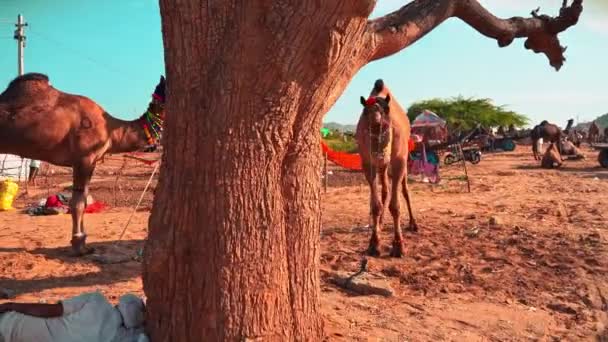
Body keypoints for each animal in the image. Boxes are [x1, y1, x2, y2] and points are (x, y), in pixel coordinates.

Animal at [0, 75, 165, 256]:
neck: (112, 130)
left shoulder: (90, 162)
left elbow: (84, 201)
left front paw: (84, 242)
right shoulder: (84, 158)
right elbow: (77, 203)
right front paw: (79, 245)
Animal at [356, 79, 418, 256]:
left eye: (387, 113)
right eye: (365, 114)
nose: (380, 151)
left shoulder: (399, 160)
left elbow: (395, 206)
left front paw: (398, 246)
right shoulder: (367, 163)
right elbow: (375, 205)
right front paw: (374, 244)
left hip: (403, 159)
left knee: (404, 190)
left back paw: (413, 224)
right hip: (381, 166)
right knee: (385, 189)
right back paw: (382, 222)